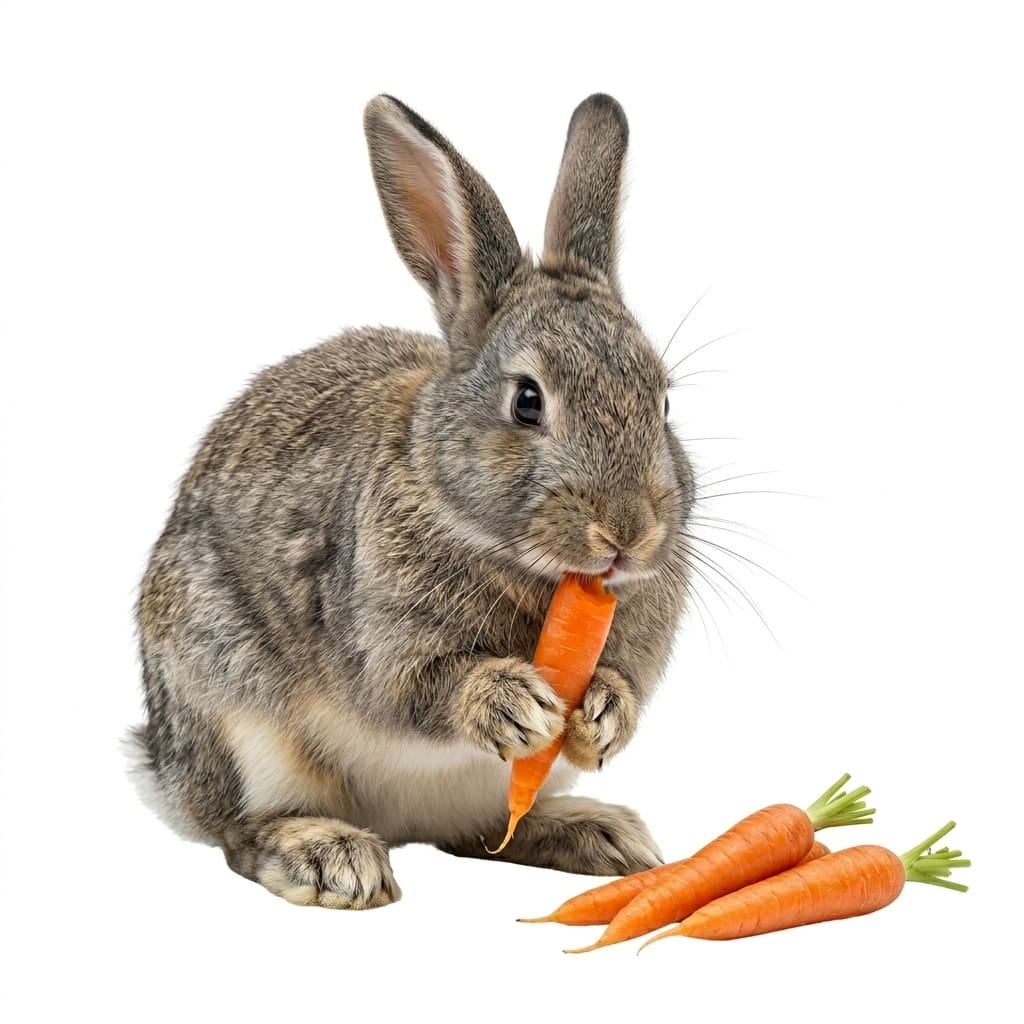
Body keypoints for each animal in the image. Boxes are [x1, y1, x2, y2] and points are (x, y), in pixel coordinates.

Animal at [128, 92, 696, 909]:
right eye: (528, 402)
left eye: (664, 404)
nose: (629, 533)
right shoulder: (381, 639)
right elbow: (419, 688)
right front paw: (514, 705)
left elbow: (624, 684)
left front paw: (601, 716)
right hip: (233, 714)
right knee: (239, 832)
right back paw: (329, 857)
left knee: (486, 834)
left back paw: (595, 833)